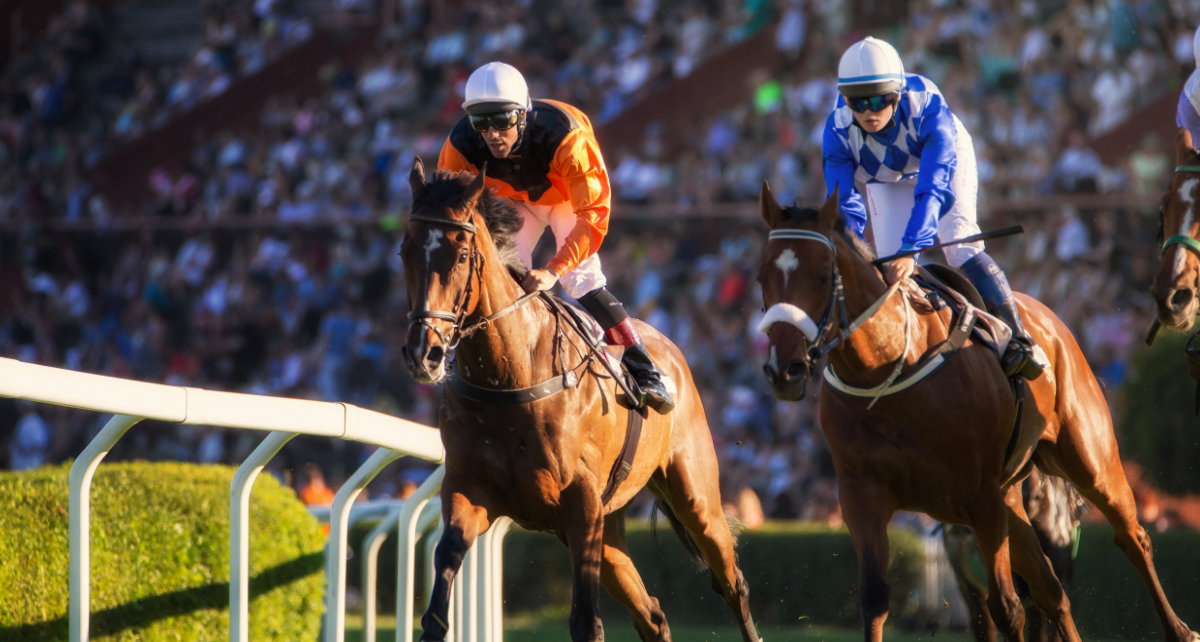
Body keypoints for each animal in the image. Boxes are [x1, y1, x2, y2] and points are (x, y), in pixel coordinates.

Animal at [399, 158, 761, 642]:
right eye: (405, 251)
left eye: (459, 256)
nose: (425, 353)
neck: (510, 378)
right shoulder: (468, 491)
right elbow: (439, 596)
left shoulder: (582, 505)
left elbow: (586, 621)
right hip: (610, 532)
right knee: (652, 614)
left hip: (696, 497)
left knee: (732, 582)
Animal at [755, 182, 1197, 642]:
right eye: (761, 278)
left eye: (823, 275)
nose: (784, 369)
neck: (888, 370)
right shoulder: (862, 495)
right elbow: (875, 601)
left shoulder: (980, 497)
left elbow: (1007, 609)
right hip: (1011, 498)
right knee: (1051, 589)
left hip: (1089, 461)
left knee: (1131, 538)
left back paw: (1180, 630)